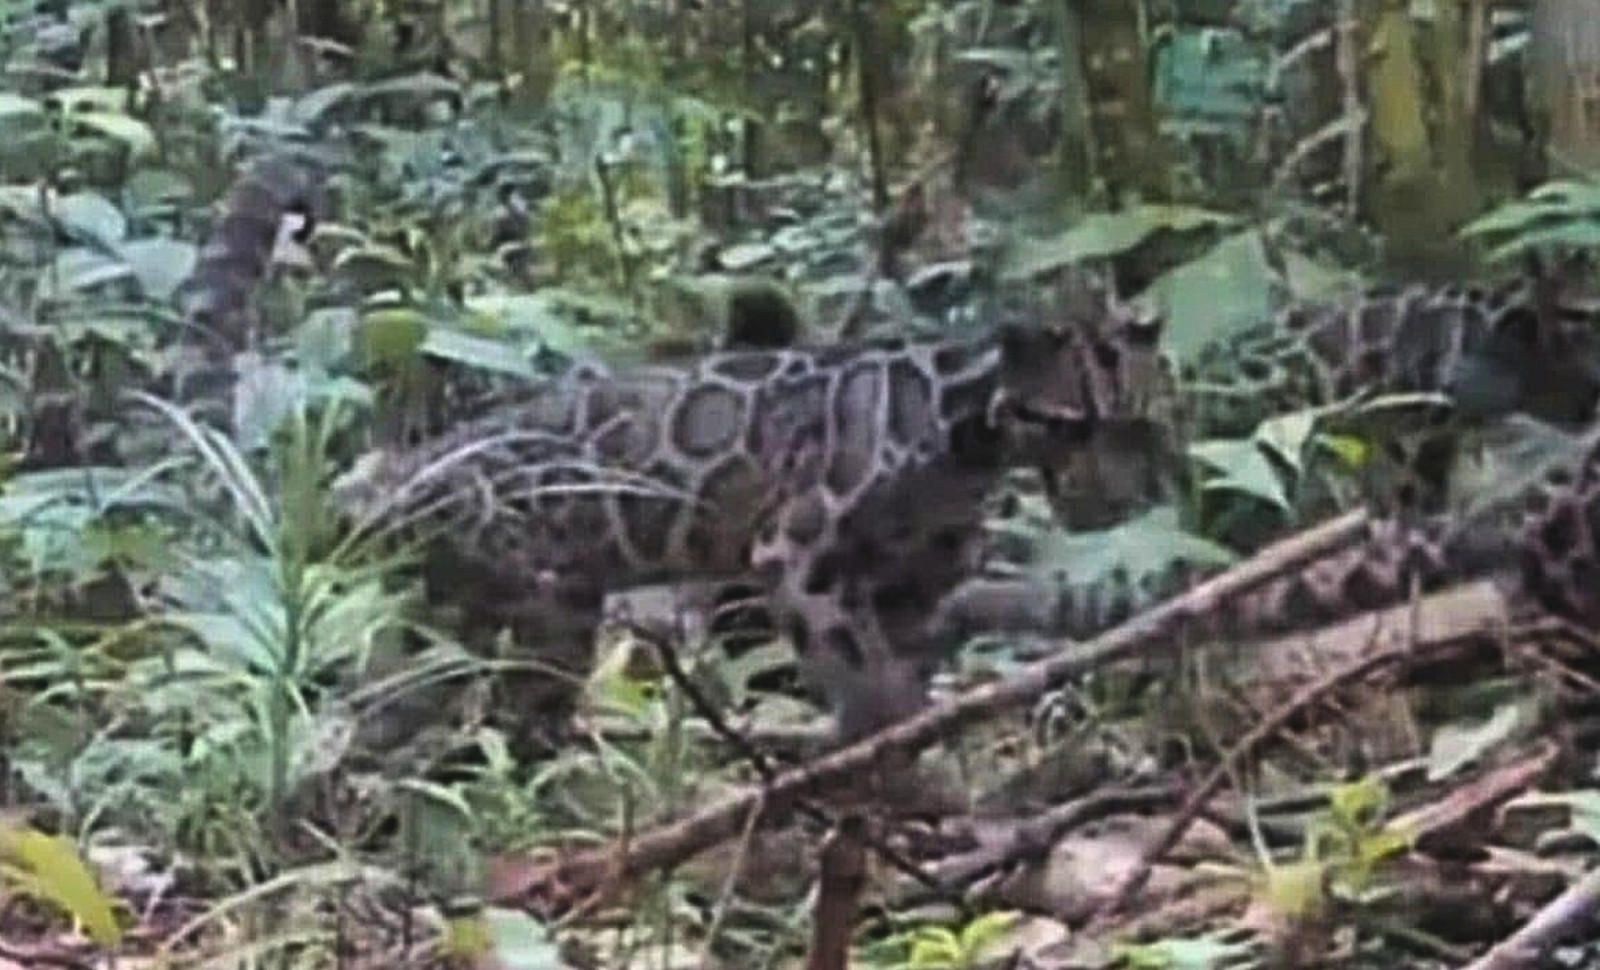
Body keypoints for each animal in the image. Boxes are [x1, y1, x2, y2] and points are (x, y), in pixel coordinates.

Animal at [334, 272, 1177, 743]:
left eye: (1136, 422)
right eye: (1069, 423)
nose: (1114, 491)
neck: (966, 441)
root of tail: (387, 475)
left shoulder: (911, 583)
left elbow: (903, 674)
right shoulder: (799, 552)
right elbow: (860, 679)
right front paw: (888, 763)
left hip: (459, 611)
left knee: (394, 705)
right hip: (537, 600)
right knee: (513, 710)